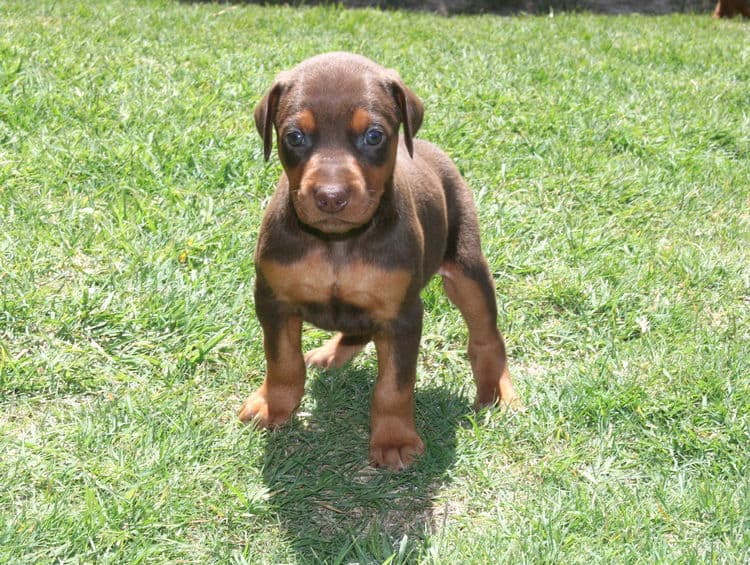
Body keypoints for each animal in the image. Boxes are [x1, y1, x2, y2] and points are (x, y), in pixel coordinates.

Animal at [244, 53, 520, 470]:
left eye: (373, 136)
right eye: (294, 137)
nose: (330, 197)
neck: (338, 243)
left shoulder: (402, 314)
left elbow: (394, 384)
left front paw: (394, 440)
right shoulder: (273, 300)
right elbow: (282, 360)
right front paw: (273, 405)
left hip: (467, 265)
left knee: (486, 335)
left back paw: (499, 390)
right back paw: (330, 353)